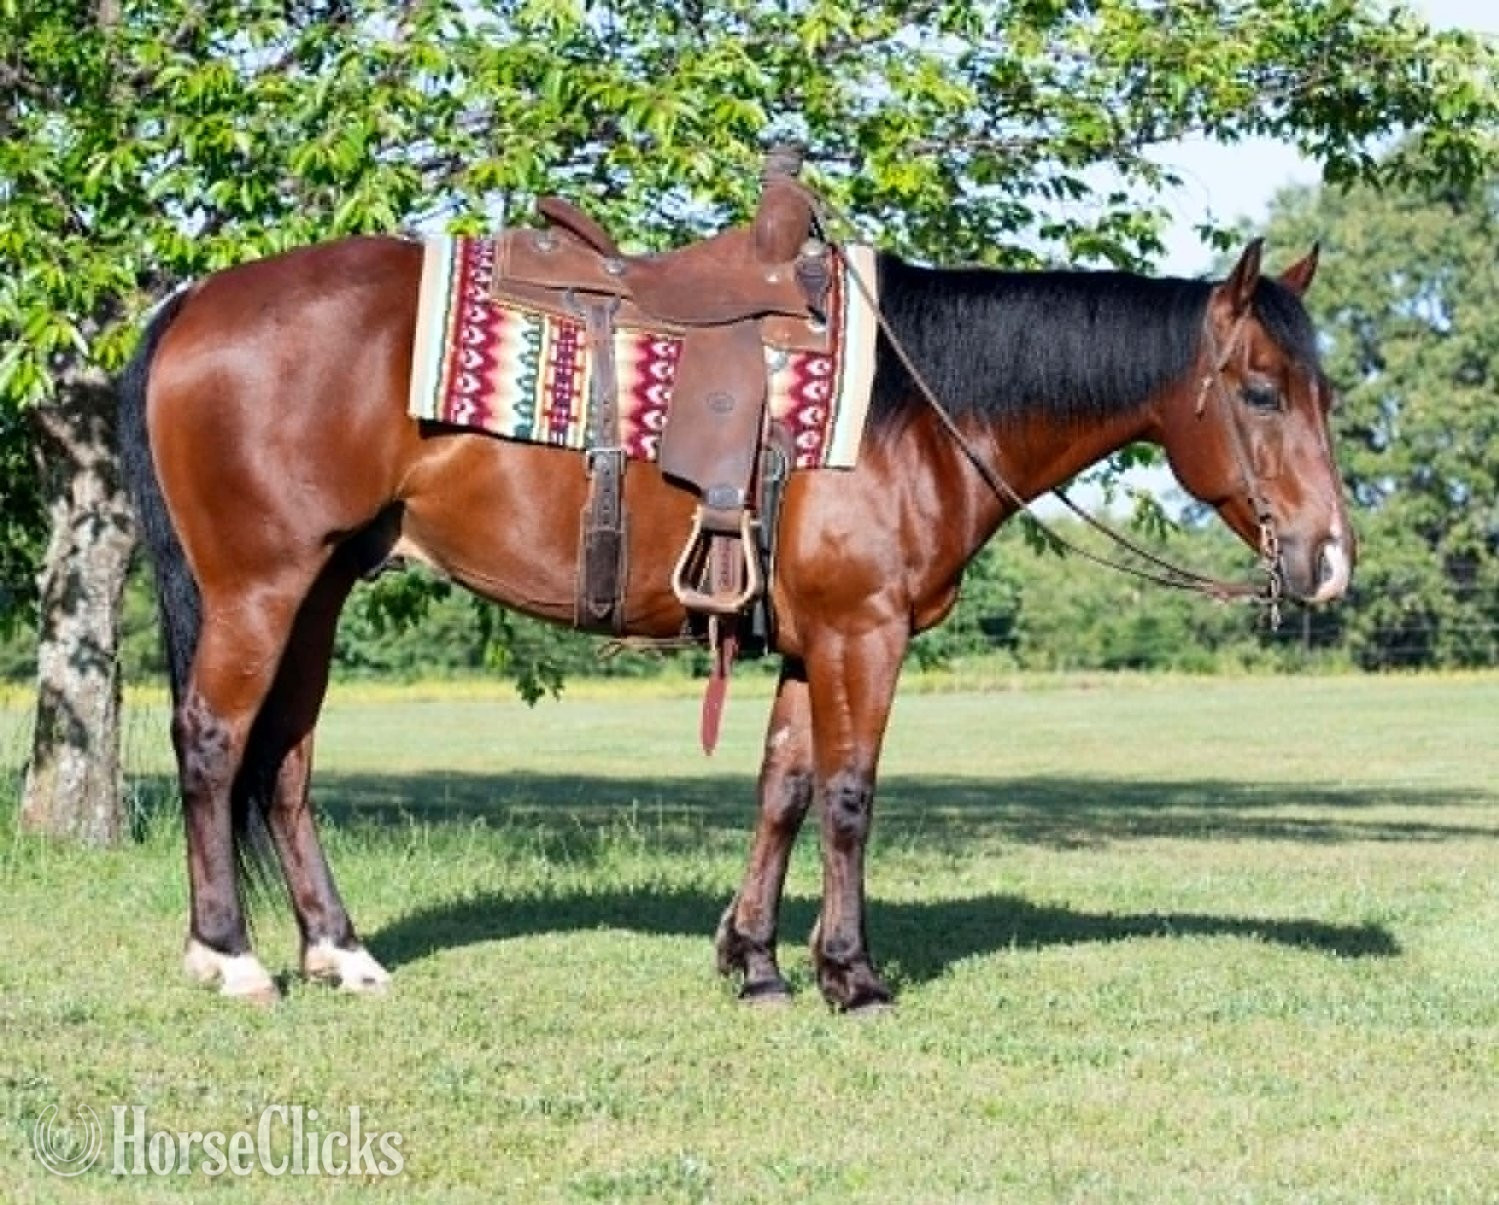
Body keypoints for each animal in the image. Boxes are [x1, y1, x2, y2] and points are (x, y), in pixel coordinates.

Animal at [117, 228, 1352, 1011]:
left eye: (1323, 392)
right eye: (1258, 391)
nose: (1330, 558)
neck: (913, 401)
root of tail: (192, 301)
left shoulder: (811, 644)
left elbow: (782, 790)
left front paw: (753, 962)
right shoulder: (864, 633)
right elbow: (849, 797)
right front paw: (850, 975)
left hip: (322, 587)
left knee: (284, 763)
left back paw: (340, 951)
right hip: (259, 585)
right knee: (214, 744)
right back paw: (230, 956)